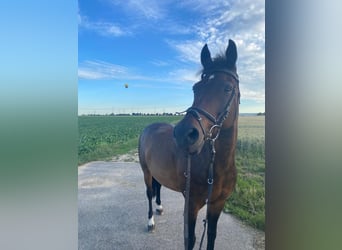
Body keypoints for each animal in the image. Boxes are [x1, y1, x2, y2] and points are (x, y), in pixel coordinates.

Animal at [139, 40, 240, 249]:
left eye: (227, 88)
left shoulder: (217, 204)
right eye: (195, 88)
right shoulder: (191, 205)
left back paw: (160, 207)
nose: (184, 134)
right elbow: (191, 239)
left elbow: (211, 236)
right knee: (149, 192)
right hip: (146, 171)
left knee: (158, 187)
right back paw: (151, 221)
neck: (214, 167)